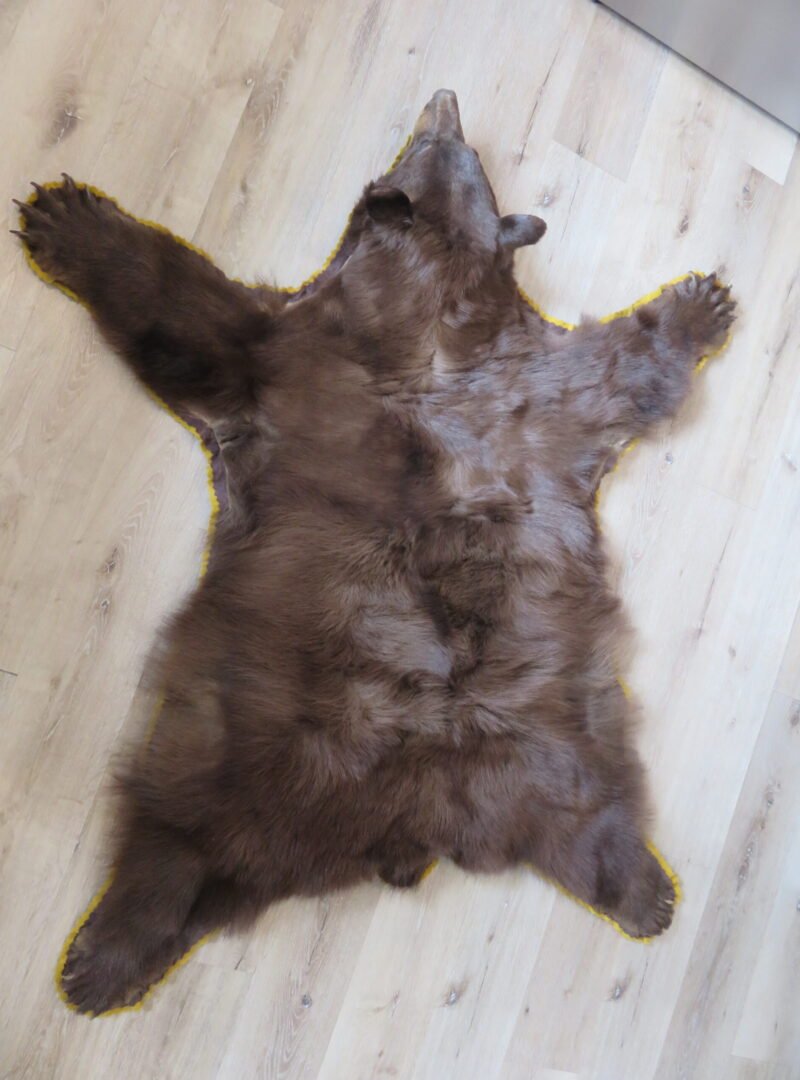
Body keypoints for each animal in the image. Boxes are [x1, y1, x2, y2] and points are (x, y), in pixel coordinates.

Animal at [15, 89, 735, 1015]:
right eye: (460, 146)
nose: (447, 98)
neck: (435, 315)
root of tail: (416, 820)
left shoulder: (513, 375)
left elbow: (622, 364)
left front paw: (703, 300)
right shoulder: (316, 354)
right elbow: (194, 317)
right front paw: (65, 214)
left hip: (541, 738)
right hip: (278, 748)